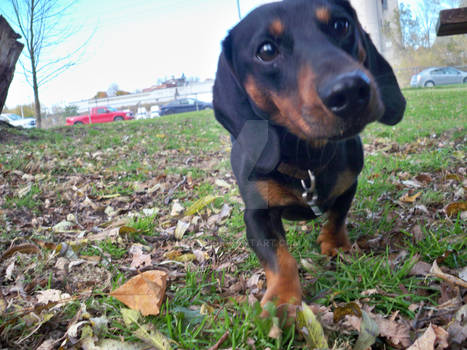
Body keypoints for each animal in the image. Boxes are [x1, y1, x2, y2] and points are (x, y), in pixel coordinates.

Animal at [212, 0, 406, 310]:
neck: (308, 163)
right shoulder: (256, 215)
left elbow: (337, 216)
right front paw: (281, 301)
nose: (350, 91)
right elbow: (280, 258)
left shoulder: (349, 185)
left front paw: (335, 245)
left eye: (341, 25)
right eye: (266, 50)